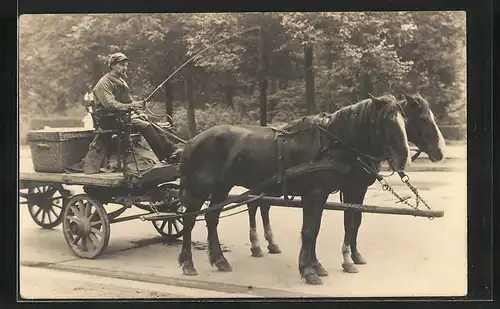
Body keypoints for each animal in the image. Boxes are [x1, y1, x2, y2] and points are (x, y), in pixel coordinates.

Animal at [178, 94, 412, 284]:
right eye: (387, 122)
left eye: (404, 121)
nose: (404, 159)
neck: (327, 144)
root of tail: (191, 142)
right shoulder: (315, 194)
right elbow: (310, 231)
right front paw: (309, 271)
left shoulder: (327, 194)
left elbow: (316, 230)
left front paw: (316, 266)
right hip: (199, 189)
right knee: (189, 220)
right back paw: (187, 263)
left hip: (222, 187)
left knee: (212, 218)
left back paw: (219, 259)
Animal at [246, 91, 446, 272]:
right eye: (423, 118)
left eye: (405, 122)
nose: (441, 151)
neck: (338, 145)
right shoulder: (348, 188)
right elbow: (346, 224)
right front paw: (347, 259)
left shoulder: (357, 189)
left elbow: (354, 222)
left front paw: (354, 256)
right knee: (254, 206)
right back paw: (257, 246)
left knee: (261, 206)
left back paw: (270, 244)